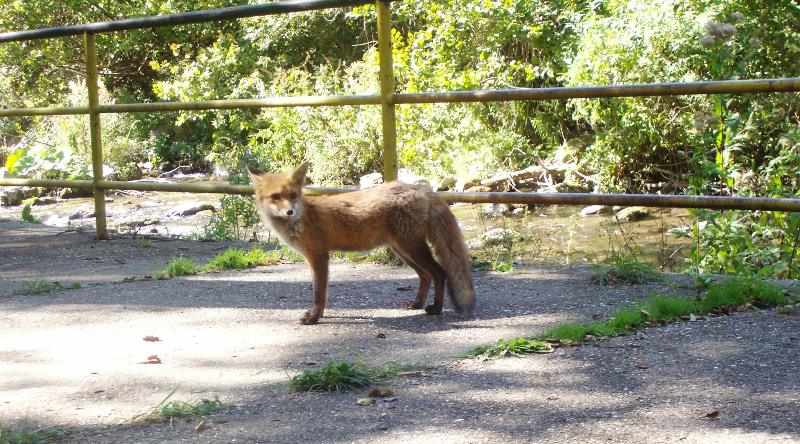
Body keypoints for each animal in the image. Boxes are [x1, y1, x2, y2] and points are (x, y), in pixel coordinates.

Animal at [247, 161, 478, 324]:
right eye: (275, 196)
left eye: (293, 195)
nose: (290, 211)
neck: (302, 218)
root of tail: (422, 190)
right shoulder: (312, 258)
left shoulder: (319, 256)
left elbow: (319, 294)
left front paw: (314, 318)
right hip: (403, 250)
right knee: (426, 276)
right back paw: (417, 304)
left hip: (412, 248)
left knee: (439, 273)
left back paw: (436, 308)